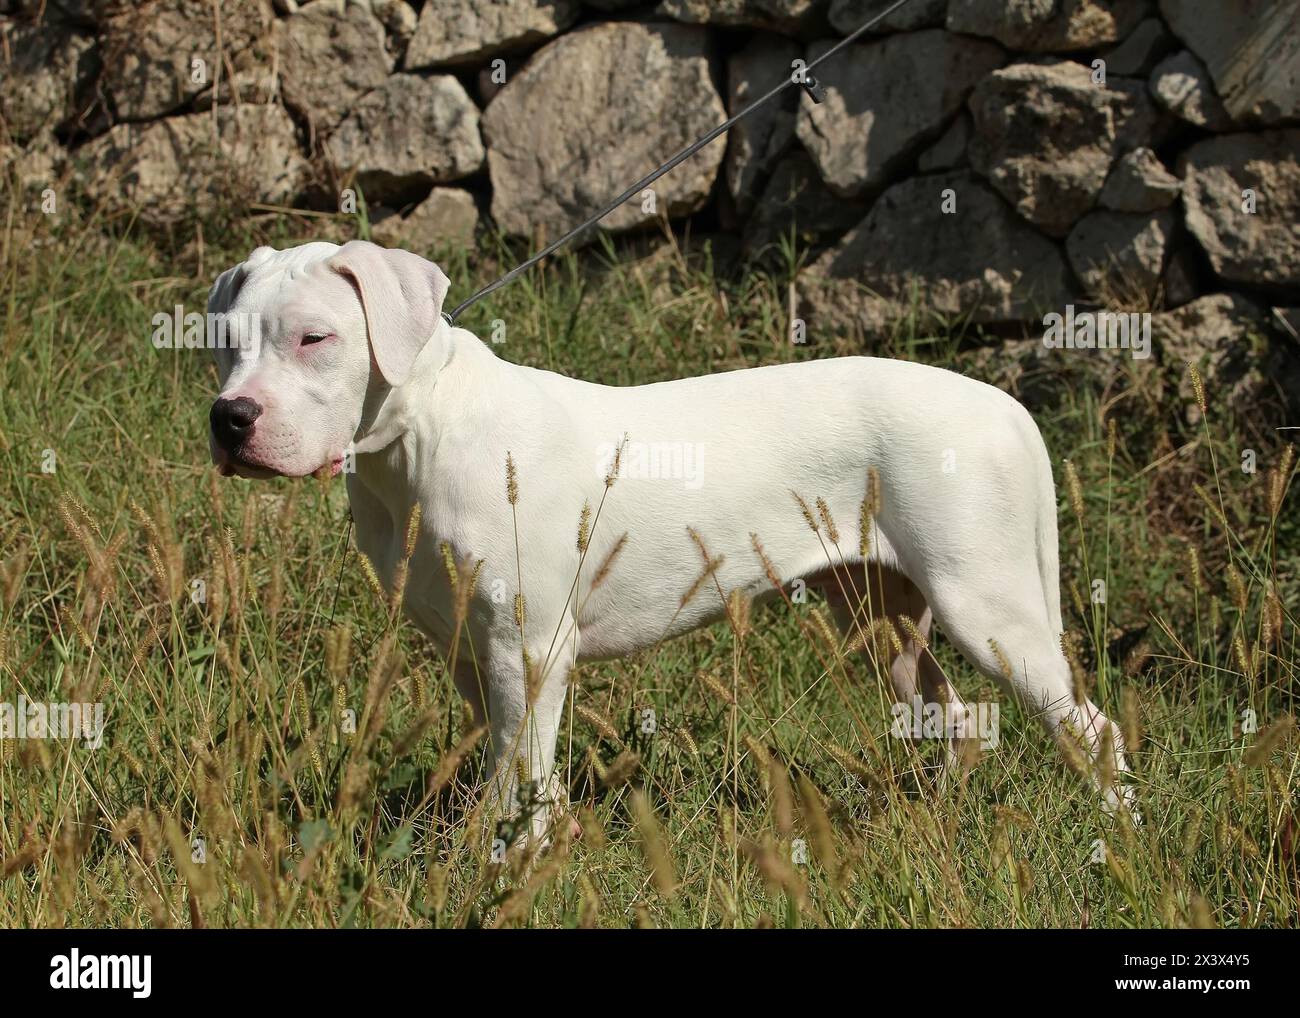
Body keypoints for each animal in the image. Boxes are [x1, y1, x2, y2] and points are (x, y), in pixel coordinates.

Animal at [208, 240, 1133, 842]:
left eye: (315, 338)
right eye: (223, 343)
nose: (230, 418)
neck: (422, 436)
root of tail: (1004, 405)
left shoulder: (529, 653)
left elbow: (526, 779)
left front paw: (517, 865)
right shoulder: (470, 652)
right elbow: (501, 770)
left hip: (987, 607)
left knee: (1090, 728)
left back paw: (1116, 830)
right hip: (880, 614)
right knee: (952, 715)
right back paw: (927, 822)